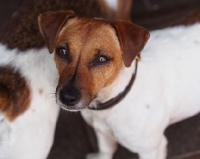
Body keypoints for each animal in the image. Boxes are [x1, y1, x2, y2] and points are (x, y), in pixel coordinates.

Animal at [38, 9, 200, 159]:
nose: (67, 97)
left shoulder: (152, 150)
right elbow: (106, 150)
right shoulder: (101, 131)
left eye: (102, 59)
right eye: (62, 51)